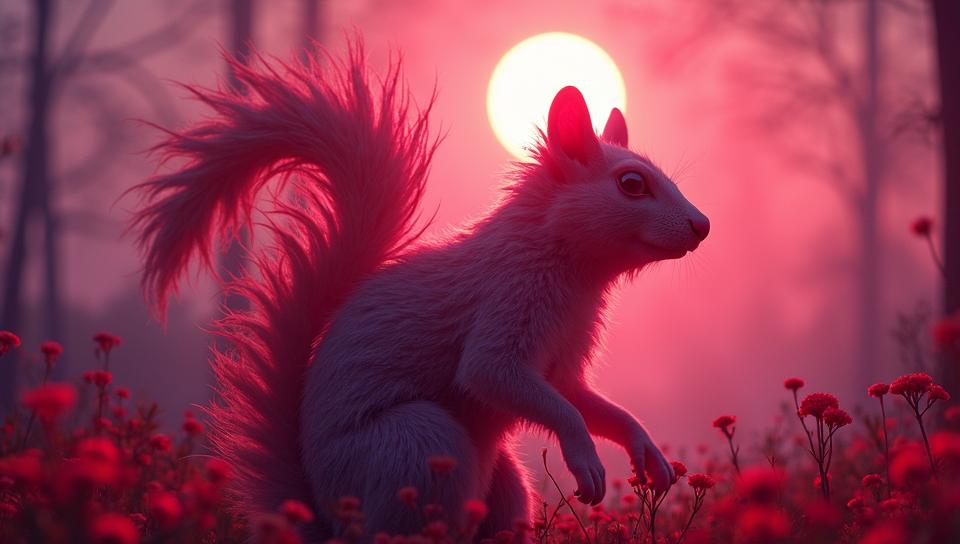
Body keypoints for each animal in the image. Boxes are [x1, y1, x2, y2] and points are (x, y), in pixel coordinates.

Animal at [131, 43, 709, 540]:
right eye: (631, 184)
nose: (702, 226)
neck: (572, 269)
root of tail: (325, 516)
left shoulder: (562, 360)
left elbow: (582, 399)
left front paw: (645, 451)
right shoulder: (506, 302)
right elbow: (497, 376)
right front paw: (586, 463)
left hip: (501, 492)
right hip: (415, 443)